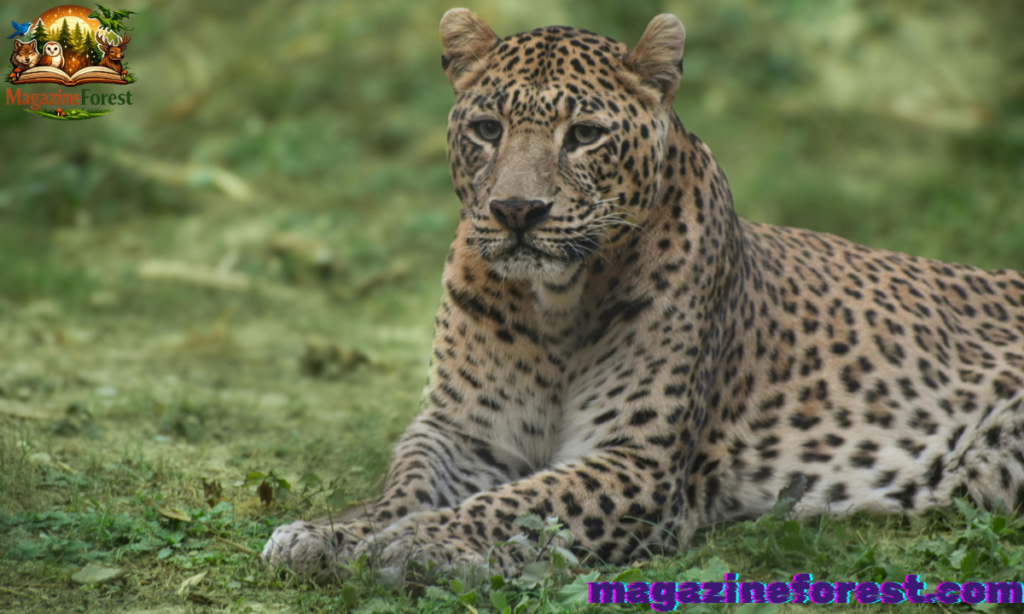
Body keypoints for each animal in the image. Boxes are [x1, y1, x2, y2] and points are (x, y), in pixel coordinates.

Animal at [263, 9, 1024, 583]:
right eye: (487, 129)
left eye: (584, 135)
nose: (516, 211)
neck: (554, 304)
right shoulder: (463, 430)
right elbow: (405, 482)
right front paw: (331, 532)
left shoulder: (640, 459)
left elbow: (523, 503)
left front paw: (421, 542)